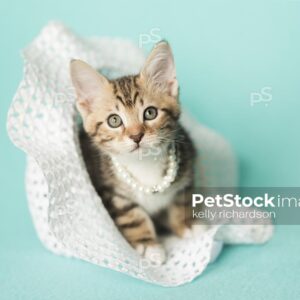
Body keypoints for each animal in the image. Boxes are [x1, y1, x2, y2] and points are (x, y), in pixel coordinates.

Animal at [70, 41, 197, 264]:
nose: (136, 136)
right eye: (114, 120)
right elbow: (132, 216)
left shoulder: (187, 167)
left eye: (150, 112)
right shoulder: (111, 192)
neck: (145, 165)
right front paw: (148, 245)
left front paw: (186, 225)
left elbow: (181, 199)